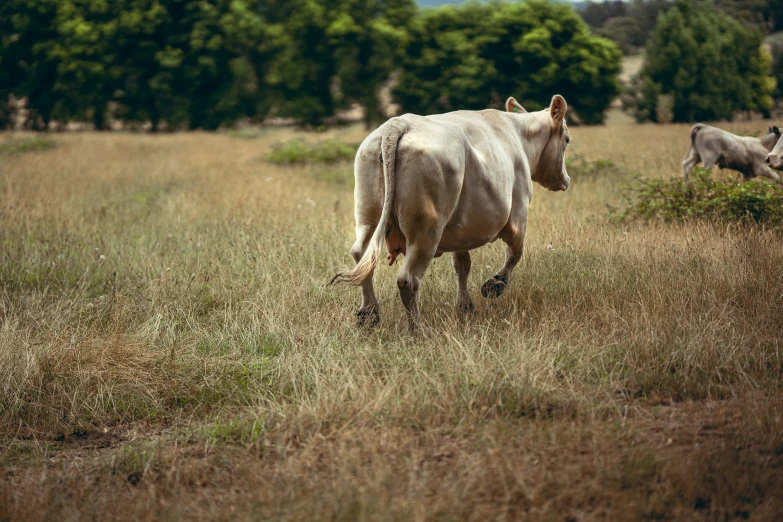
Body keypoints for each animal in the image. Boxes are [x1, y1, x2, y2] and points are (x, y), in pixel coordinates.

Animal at [328, 95, 572, 328]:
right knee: (407, 280)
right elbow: (514, 254)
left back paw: (369, 315)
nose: (566, 179)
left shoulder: (459, 230)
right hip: (426, 230)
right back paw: (417, 329)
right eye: (567, 139)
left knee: (361, 257)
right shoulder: (518, 215)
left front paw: (466, 306)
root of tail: (398, 123)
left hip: (368, 217)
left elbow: (462, 265)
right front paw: (494, 286)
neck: (518, 133)